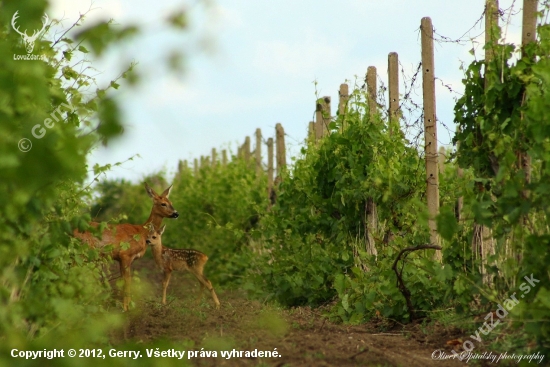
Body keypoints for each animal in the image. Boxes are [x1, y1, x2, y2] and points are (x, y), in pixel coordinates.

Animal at [73, 183, 180, 312]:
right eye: (163, 203)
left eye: (171, 202)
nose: (176, 214)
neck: (142, 232)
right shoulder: (125, 254)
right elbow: (127, 280)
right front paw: (126, 308)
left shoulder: (121, 259)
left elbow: (122, 280)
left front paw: (125, 306)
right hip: (82, 252)